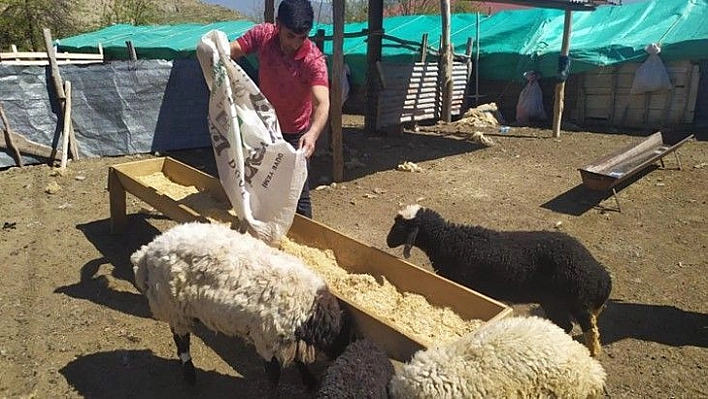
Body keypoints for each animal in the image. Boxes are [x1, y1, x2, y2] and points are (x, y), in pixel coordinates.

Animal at [130, 223, 352, 392]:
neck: (310, 309)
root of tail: (148, 251)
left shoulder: (287, 339)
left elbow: (298, 360)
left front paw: (310, 381)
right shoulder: (267, 339)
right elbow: (274, 374)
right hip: (172, 305)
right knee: (181, 339)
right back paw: (189, 373)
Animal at [384, 205, 612, 358]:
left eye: (401, 227)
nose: (387, 242)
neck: (449, 241)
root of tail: (600, 275)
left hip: (573, 299)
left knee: (587, 327)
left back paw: (593, 352)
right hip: (557, 301)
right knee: (567, 325)